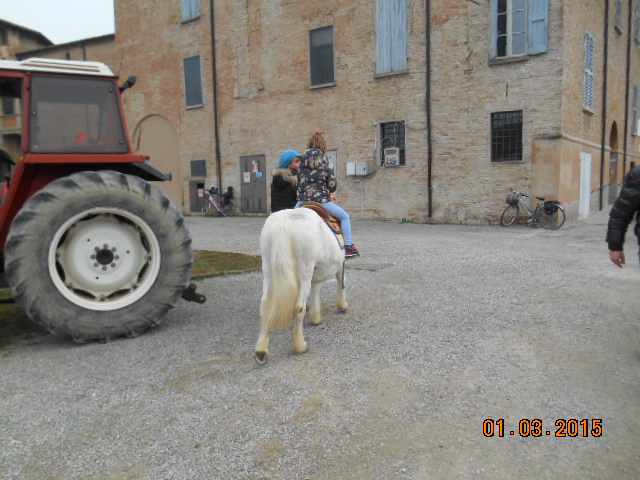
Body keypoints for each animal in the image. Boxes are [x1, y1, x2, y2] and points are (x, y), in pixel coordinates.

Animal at [254, 207, 348, 364]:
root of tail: (286, 220)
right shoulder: (339, 265)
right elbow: (340, 281)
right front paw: (342, 305)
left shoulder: (316, 272)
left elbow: (316, 288)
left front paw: (315, 317)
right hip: (305, 270)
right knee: (299, 307)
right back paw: (300, 346)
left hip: (267, 269)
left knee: (264, 304)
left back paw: (261, 350)